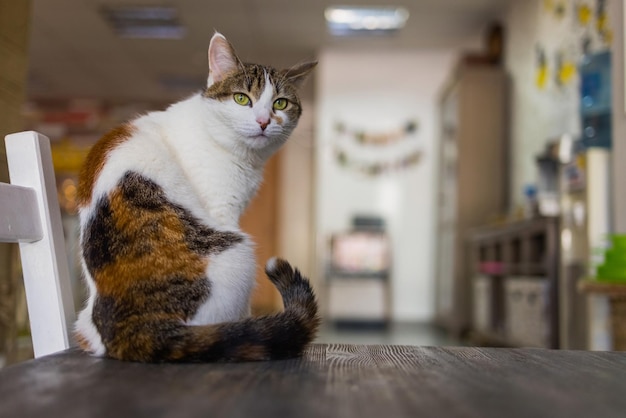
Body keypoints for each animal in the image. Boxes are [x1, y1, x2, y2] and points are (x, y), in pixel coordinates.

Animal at [72, 31, 320, 362]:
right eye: (242, 98)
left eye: (280, 103)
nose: (264, 121)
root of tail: (134, 327)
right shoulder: (222, 209)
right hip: (238, 254)